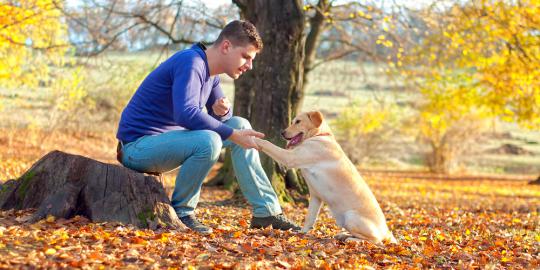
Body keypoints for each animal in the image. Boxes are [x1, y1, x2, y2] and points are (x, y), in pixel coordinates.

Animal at [253, 110, 396, 246]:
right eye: (293, 121)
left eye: (298, 121)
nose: (282, 133)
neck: (320, 136)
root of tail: (386, 231)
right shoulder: (315, 196)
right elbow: (310, 217)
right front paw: (302, 232)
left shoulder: (290, 157)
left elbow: (268, 144)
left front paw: (254, 138)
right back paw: (342, 235)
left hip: (351, 217)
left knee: (375, 240)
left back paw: (351, 239)